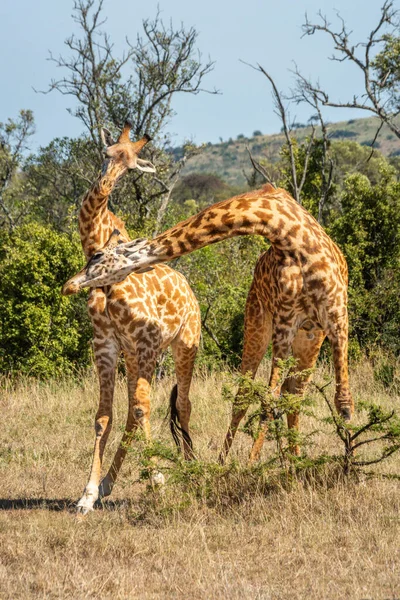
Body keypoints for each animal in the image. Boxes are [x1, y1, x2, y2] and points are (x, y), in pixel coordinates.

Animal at [67, 124, 203, 512]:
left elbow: (144, 411)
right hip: (133, 354)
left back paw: (190, 471)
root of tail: (190, 291)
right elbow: (104, 417)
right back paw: (109, 484)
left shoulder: (147, 341)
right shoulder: (106, 344)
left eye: (131, 164)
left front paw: (157, 480)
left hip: (183, 344)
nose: (104, 185)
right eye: (107, 153)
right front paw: (88, 493)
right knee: (132, 409)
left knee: (181, 404)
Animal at [68, 183, 354, 464]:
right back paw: (240, 463)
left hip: (310, 337)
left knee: (293, 394)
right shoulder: (285, 322)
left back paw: (293, 460)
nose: (70, 284)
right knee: (249, 395)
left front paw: (350, 465)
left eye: (97, 255)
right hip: (262, 325)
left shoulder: (338, 316)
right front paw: (253, 466)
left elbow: (344, 402)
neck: (287, 233)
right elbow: (267, 400)